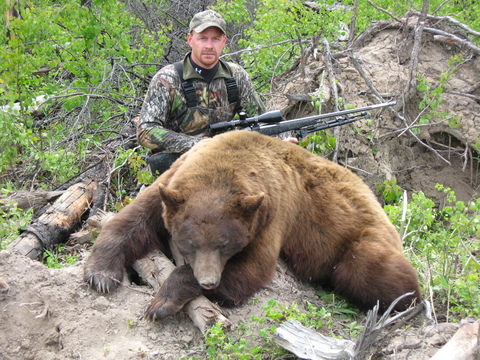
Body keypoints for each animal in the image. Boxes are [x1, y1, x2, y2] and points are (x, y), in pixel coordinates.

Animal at [85, 130, 420, 320]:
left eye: (224, 245)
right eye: (189, 243)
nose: (208, 281)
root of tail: (375, 200)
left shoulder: (271, 212)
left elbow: (253, 269)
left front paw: (162, 303)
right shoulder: (172, 183)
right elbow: (131, 220)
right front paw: (100, 274)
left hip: (360, 235)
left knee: (369, 269)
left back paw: (406, 303)